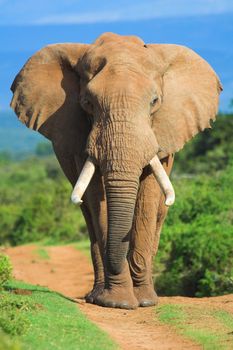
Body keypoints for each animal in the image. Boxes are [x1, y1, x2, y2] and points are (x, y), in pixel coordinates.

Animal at [10, 32, 222, 308]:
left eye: (155, 102)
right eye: (88, 103)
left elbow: (148, 197)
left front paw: (144, 301)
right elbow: (96, 198)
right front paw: (117, 302)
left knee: (158, 214)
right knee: (88, 215)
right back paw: (95, 296)